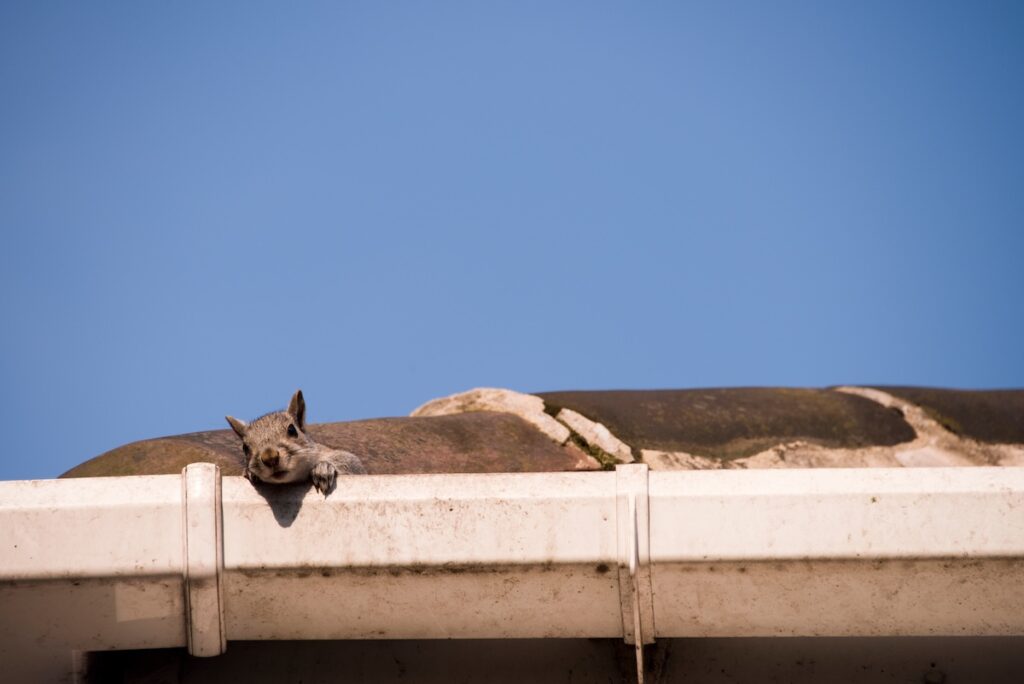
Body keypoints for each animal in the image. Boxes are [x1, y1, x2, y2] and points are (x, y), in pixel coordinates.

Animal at [226, 390, 366, 495]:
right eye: (245, 448)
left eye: (292, 430)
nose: (270, 457)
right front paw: (249, 472)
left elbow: (353, 464)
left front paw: (323, 468)